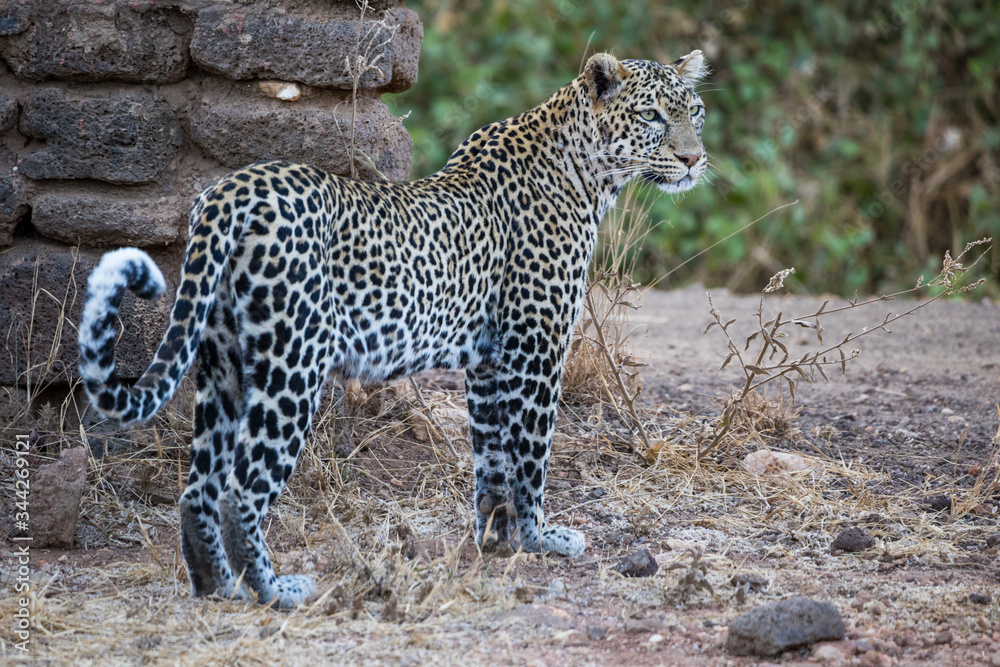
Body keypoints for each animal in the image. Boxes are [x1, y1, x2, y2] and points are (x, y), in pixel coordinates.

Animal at [77, 51, 709, 609]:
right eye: (653, 116)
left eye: (695, 111)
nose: (694, 159)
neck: (589, 173)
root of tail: (229, 192)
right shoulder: (536, 346)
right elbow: (531, 452)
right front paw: (541, 539)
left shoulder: (487, 361)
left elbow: (492, 457)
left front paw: (496, 539)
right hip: (291, 365)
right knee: (241, 490)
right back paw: (274, 591)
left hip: (223, 362)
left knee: (198, 488)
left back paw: (217, 589)